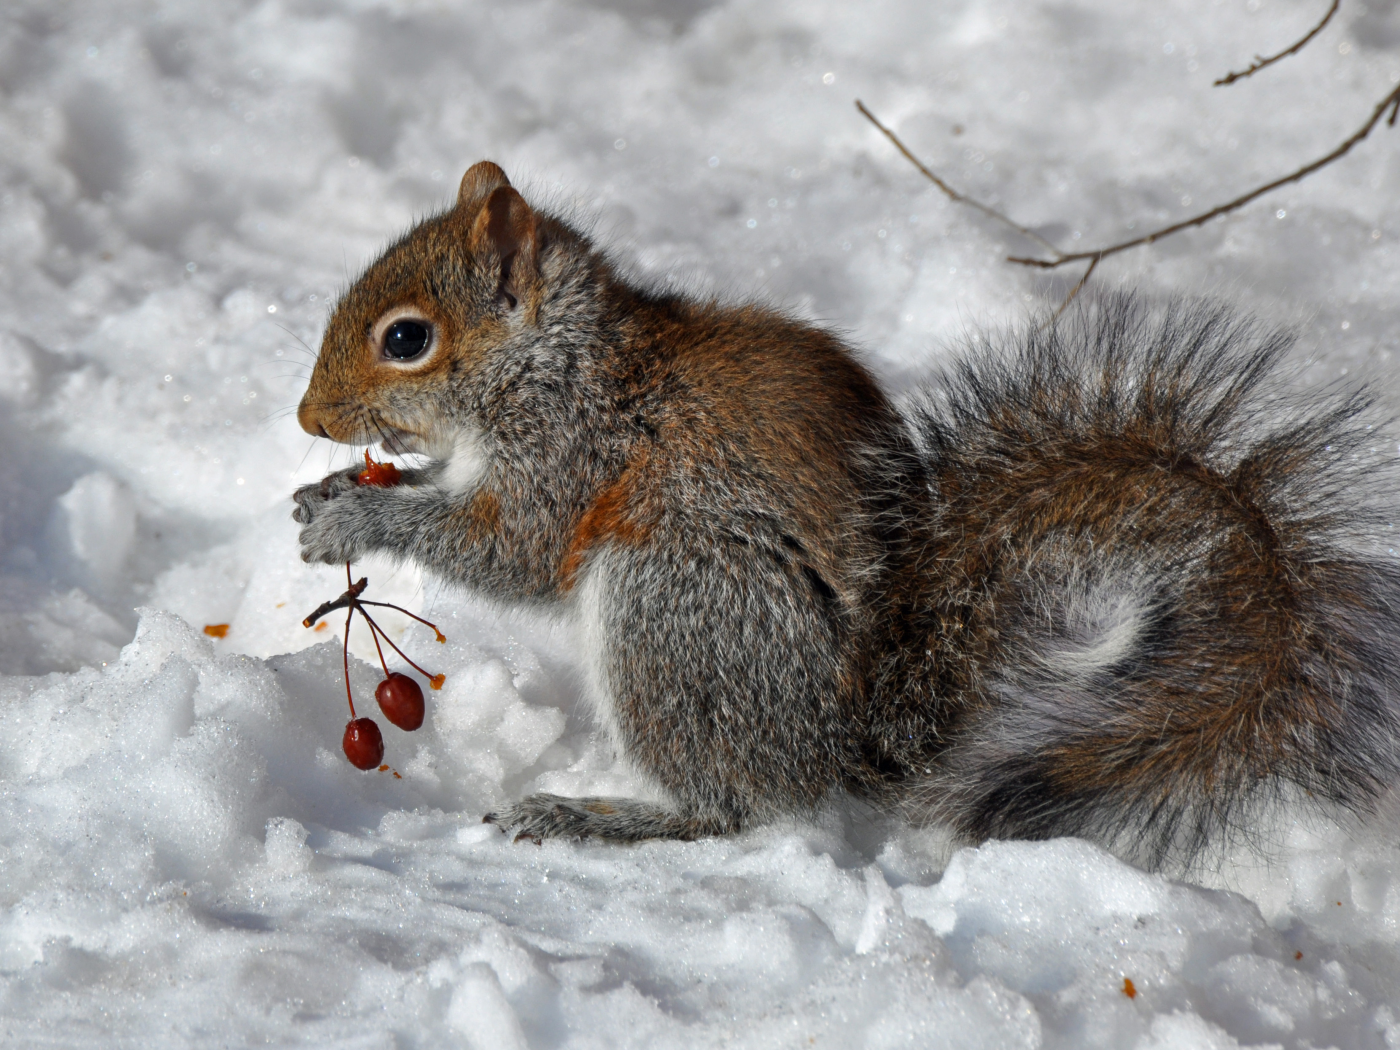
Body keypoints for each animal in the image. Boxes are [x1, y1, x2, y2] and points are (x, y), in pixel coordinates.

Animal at [292, 162, 1400, 873]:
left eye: (406, 339)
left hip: (675, 602)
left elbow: (508, 549)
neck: (556, 361)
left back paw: (595, 816)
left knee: (733, 806)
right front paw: (331, 494)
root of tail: (845, 733)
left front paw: (359, 523)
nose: (309, 420)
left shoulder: (572, 453)